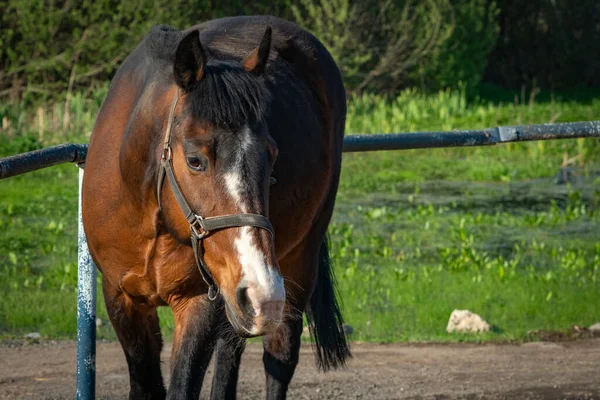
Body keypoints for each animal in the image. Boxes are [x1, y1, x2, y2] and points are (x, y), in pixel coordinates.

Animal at [82, 14, 350, 396]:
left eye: (272, 156)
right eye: (195, 160)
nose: (263, 291)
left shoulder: (200, 302)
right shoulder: (121, 299)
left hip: (294, 268)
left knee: (279, 357)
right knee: (230, 354)